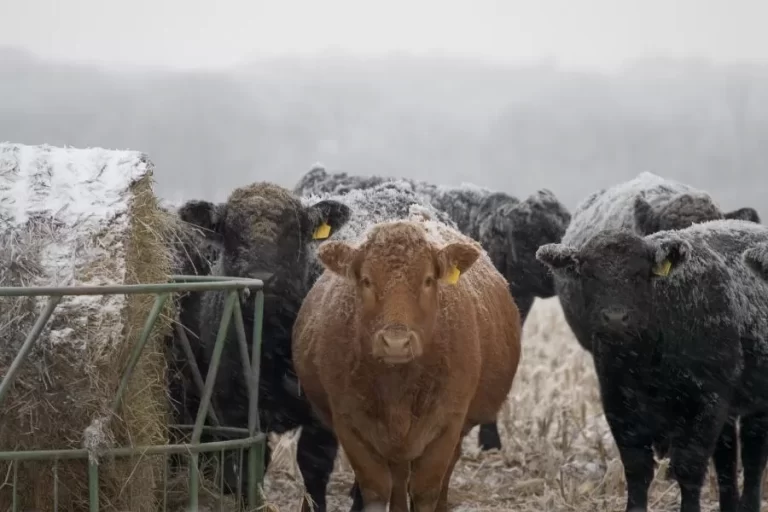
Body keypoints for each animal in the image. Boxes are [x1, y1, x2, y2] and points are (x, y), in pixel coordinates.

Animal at [292, 217, 520, 512]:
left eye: (428, 279)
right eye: (366, 280)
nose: (396, 342)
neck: (398, 388)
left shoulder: (447, 425)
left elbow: (425, 491)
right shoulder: (350, 424)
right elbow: (377, 490)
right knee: (399, 478)